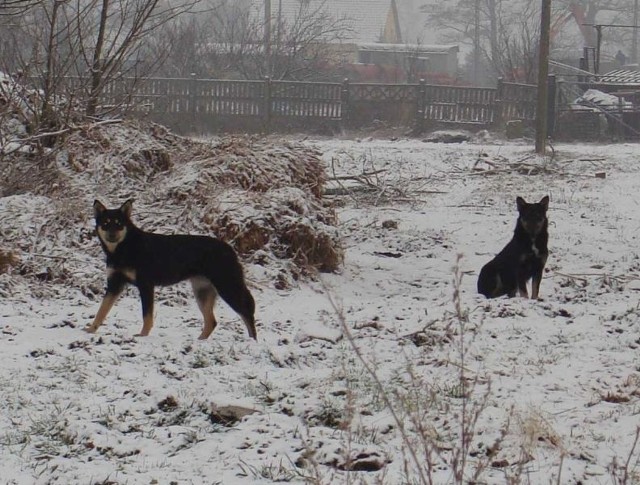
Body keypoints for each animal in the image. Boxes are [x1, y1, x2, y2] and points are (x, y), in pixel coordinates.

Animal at [88, 199, 258, 338]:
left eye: (119, 223)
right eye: (105, 223)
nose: (112, 235)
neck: (123, 249)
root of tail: (230, 249)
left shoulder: (146, 285)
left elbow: (146, 315)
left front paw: (143, 335)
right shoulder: (114, 284)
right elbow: (101, 311)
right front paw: (90, 330)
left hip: (227, 287)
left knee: (247, 313)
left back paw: (252, 342)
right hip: (202, 291)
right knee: (212, 322)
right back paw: (200, 341)